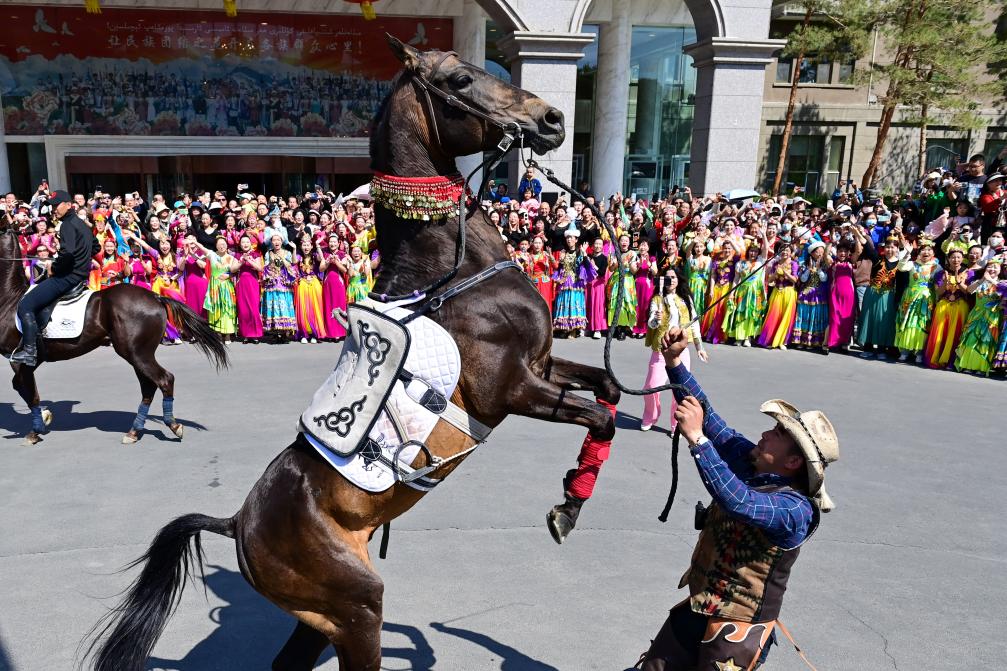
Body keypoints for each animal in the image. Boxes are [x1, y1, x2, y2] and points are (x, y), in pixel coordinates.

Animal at [0, 227, 228, 441]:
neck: (10, 298)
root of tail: (155, 297)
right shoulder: (30, 361)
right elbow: (24, 388)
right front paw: (44, 417)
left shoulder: (19, 359)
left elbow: (26, 389)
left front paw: (35, 430)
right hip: (138, 354)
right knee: (149, 387)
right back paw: (134, 432)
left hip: (136, 353)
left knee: (164, 380)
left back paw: (172, 425)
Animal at [88, 36, 620, 668]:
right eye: (461, 80)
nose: (552, 118)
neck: (452, 274)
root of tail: (237, 521)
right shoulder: (509, 388)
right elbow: (600, 417)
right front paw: (567, 509)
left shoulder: (541, 366)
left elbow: (607, 393)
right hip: (357, 609)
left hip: (321, 620)